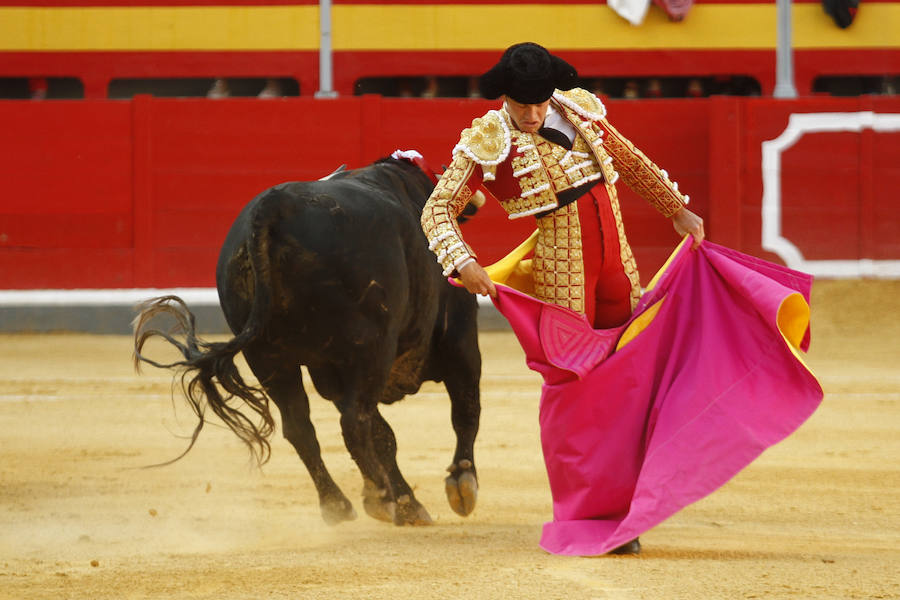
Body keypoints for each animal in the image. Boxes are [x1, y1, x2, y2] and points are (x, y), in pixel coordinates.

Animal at [131, 158, 482, 524]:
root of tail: (276, 205)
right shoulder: (460, 340)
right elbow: (465, 410)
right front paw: (460, 484)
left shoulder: (331, 376)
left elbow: (385, 436)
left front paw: (409, 504)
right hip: (369, 351)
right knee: (354, 424)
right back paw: (379, 497)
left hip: (269, 358)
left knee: (300, 426)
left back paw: (338, 504)